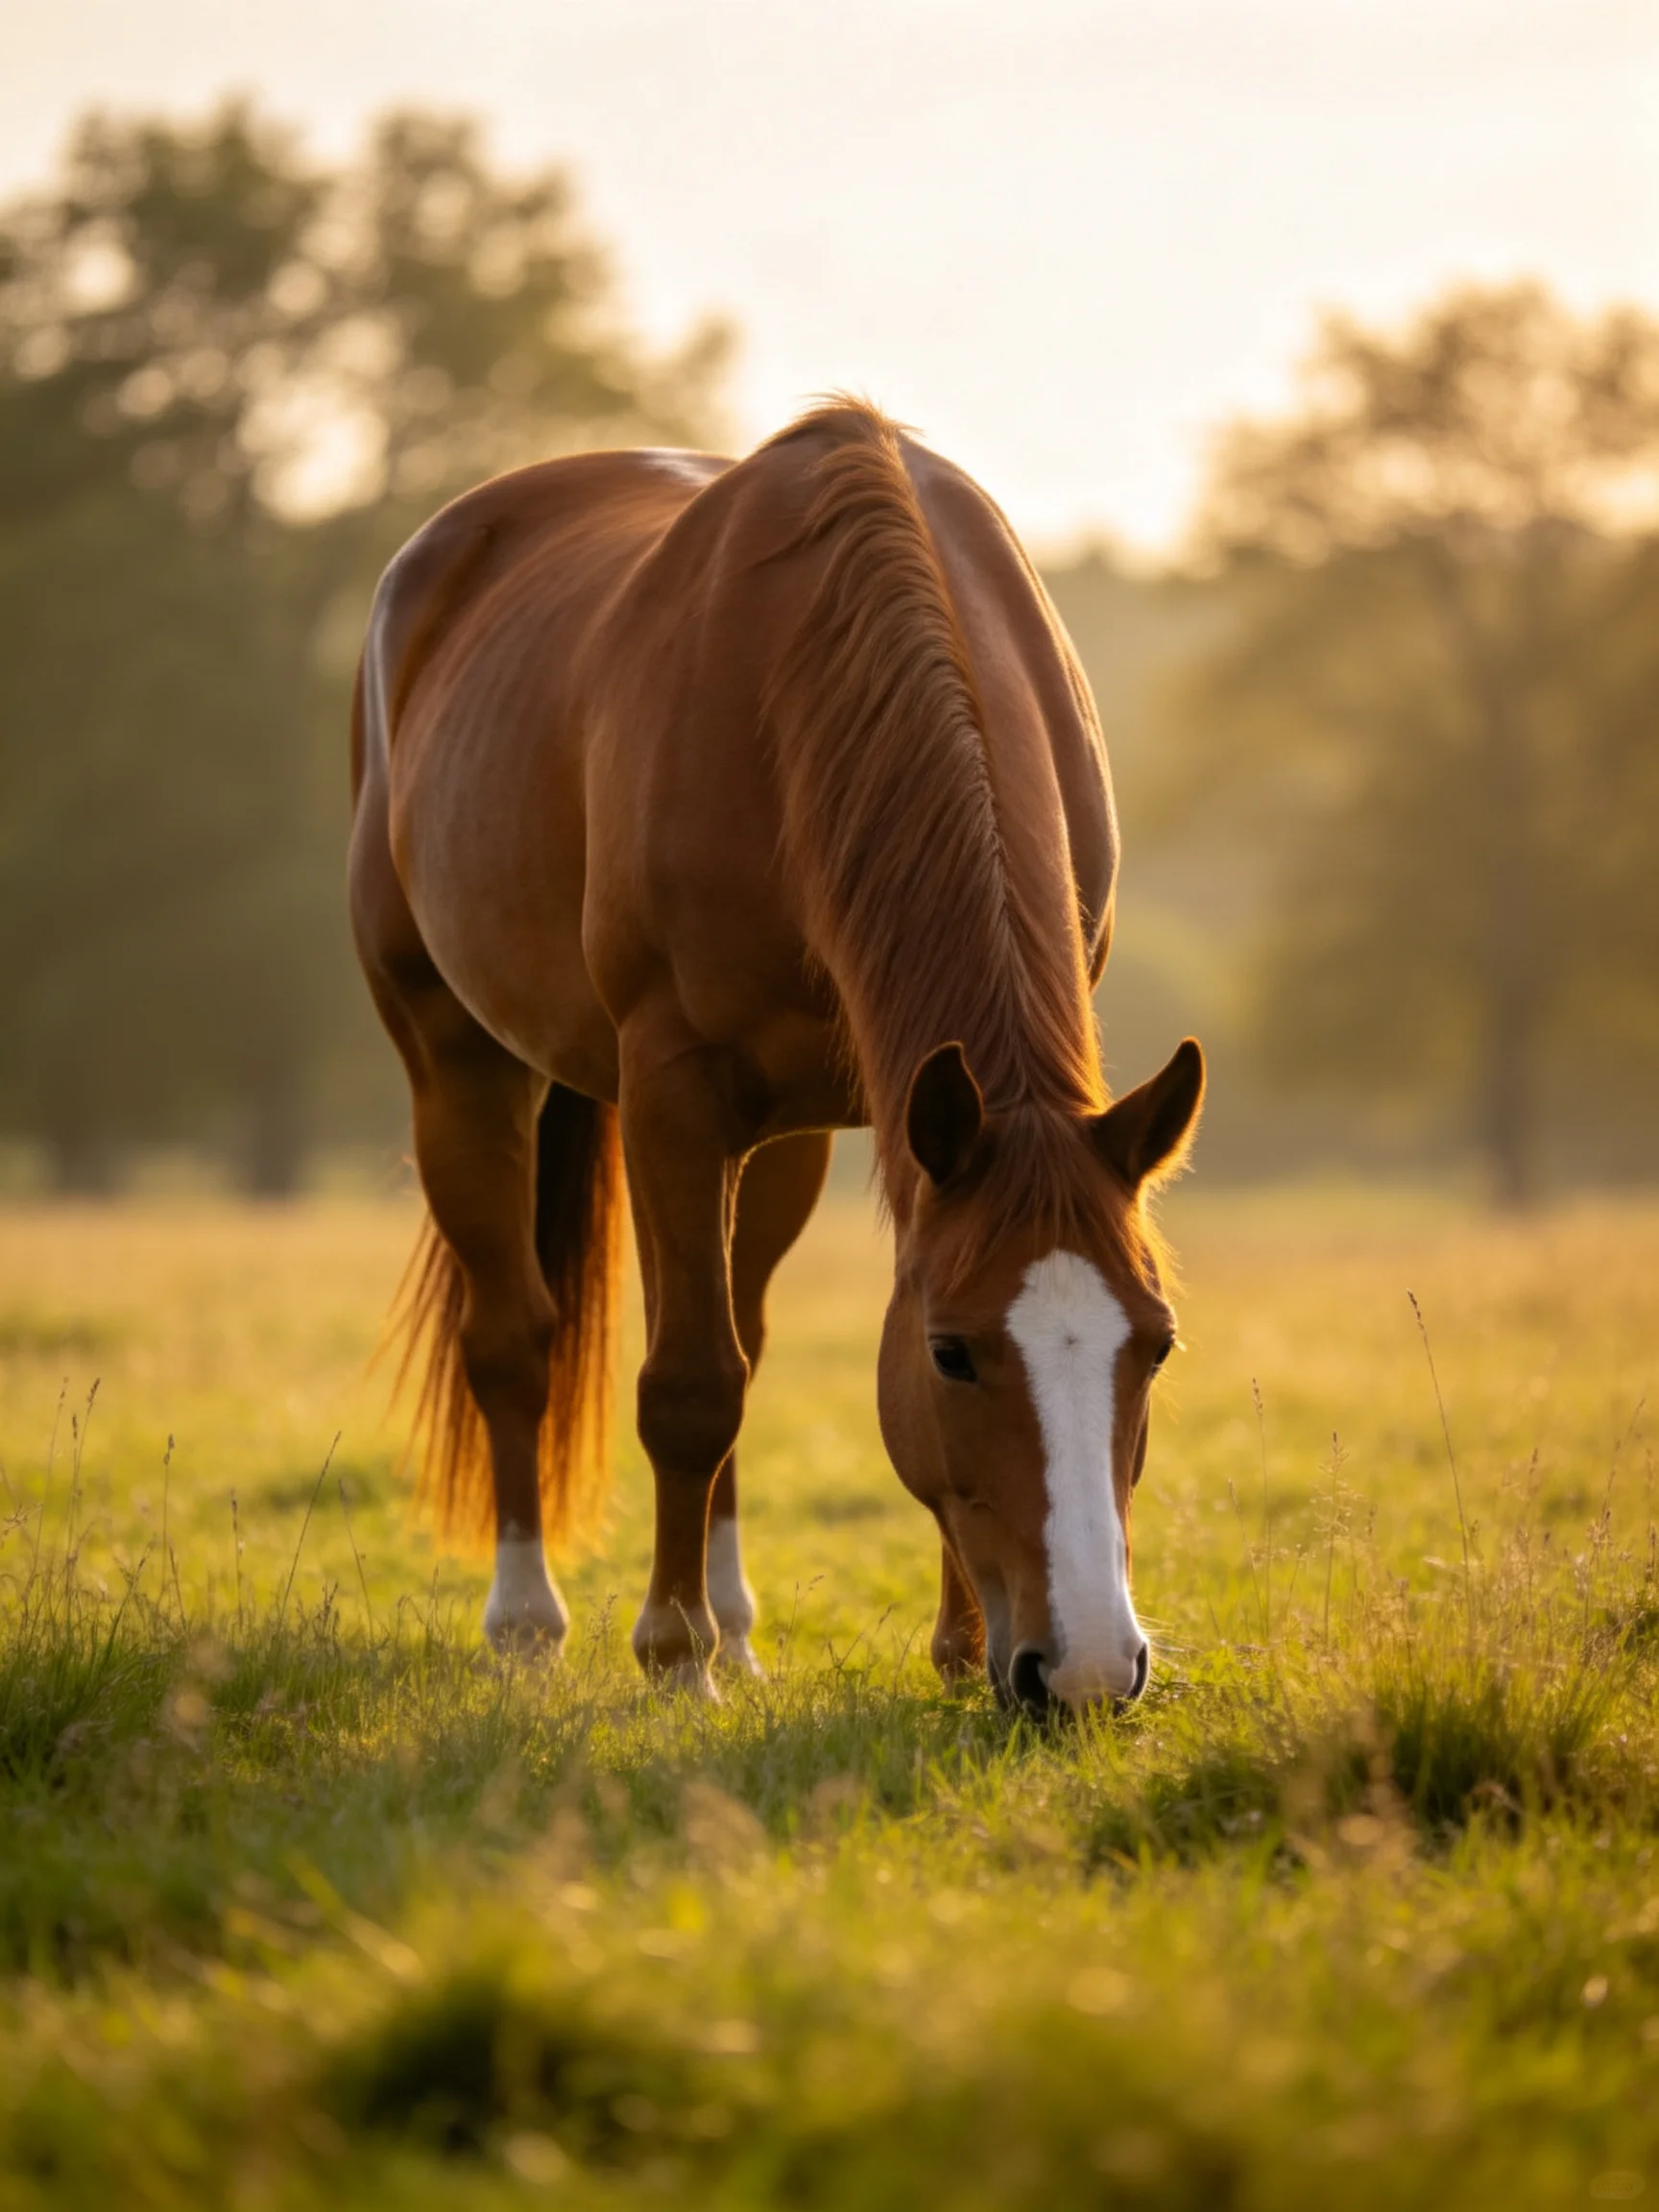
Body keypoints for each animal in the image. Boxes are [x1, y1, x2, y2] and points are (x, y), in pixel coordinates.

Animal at [349, 399, 1203, 1715]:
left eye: (1153, 1345)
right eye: (954, 1355)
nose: (1086, 1674)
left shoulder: (896, 1113)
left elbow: (747, 1360)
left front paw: (951, 1644)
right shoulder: (673, 1087)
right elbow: (689, 1385)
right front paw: (670, 1653)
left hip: (780, 1133)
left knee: (733, 1320)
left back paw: (738, 1628)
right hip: (458, 1063)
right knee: (518, 1340)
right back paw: (531, 1622)